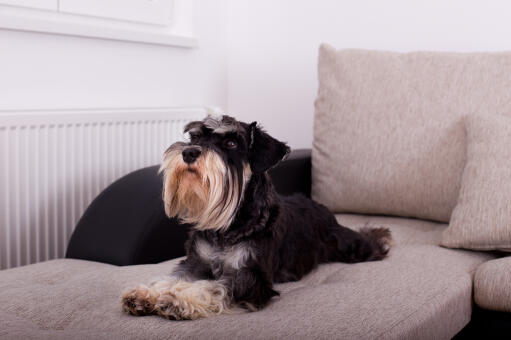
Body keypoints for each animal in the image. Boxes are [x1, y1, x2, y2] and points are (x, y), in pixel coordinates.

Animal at [121, 115, 392, 320]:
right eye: (195, 138)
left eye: (231, 143)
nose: (188, 152)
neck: (228, 226)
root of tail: (319, 206)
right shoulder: (195, 263)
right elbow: (172, 277)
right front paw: (146, 294)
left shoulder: (251, 277)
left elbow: (214, 286)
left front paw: (179, 299)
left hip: (349, 246)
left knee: (370, 241)